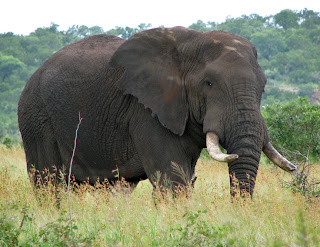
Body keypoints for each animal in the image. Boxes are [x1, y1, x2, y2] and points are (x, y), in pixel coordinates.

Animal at [18, 26, 296, 197]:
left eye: (263, 86)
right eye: (208, 83)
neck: (190, 44)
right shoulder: (146, 112)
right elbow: (173, 182)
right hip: (35, 115)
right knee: (48, 183)